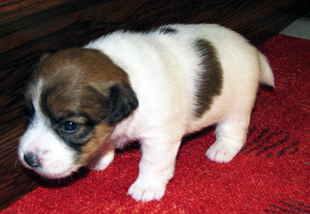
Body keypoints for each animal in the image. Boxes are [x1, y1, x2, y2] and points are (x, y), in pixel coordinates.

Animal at [18, 23, 274, 202]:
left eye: (70, 126)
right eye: (30, 113)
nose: (28, 159)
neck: (126, 72)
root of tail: (252, 48)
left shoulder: (160, 137)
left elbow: (151, 163)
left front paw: (147, 187)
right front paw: (100, 157)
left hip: (239, 105)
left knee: (233, 130)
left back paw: (222, 149)